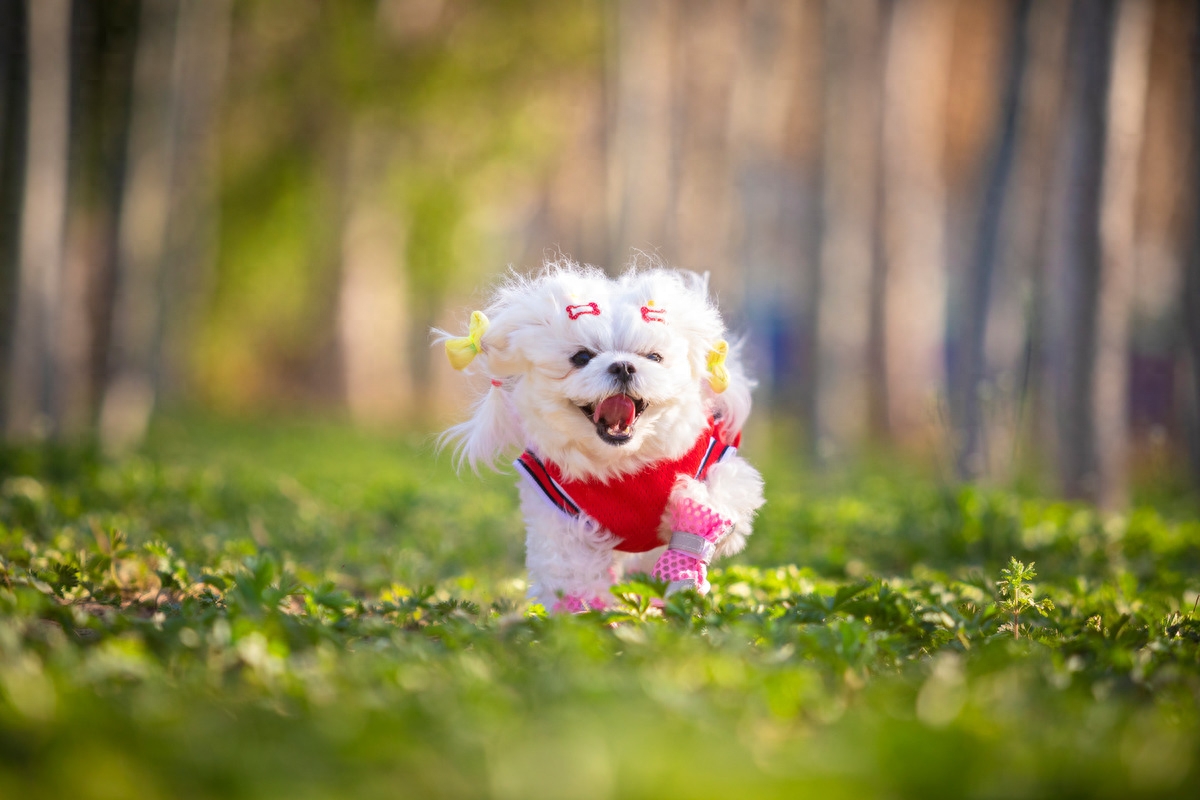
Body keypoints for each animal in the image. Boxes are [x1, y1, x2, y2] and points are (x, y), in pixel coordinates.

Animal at [436, 260, 763, 609]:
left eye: (654, 357)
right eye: (581, 357)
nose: (623, 366)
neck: (625, 465)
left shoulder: (715, 465)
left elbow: (709, 507)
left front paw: (680, 572)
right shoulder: (562, 514)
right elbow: (573, 576)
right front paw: (585, 614)